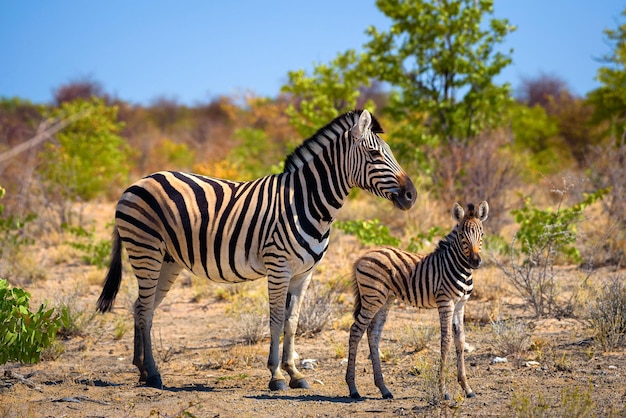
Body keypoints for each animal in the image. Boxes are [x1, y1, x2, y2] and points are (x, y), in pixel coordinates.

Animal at [95, 109, 414, 390]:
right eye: (375, 154)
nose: (412, 195)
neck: (306, 202)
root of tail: (137, 182)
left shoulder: (304, 274)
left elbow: (292, 322)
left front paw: (295, 373)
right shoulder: (279, 267)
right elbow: (275, 320)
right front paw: (276, 376)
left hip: (168, 260)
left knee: (141, 307)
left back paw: (142, 370)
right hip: (145, 249)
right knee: (145, 309)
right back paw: (153, 374)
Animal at [346, 201, 488, 400]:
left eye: (481, 234)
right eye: (462, 235)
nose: (475, 262)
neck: (459, 267)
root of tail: (361, 257)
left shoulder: (461, 304)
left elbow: (460, 340)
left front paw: (467, 388)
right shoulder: (446, 302)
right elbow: (446, 341)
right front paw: (443, 390)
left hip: (385, 300)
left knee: (373, 334)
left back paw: (384, 389)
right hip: (372, 298)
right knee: (355, 331)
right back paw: (353, 388)